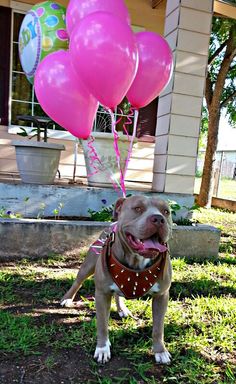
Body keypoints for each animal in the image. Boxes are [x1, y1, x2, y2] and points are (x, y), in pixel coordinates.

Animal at [60, 196, 171, 364]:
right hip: (88, 265)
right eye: (138, 208)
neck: (136, 261)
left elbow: (158, 328)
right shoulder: (102, 294)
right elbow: (102, 325)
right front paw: (102, 349)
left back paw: (122, 309)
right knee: (78, 281)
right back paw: (67, 298)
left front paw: (160, 351)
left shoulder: (161, 296)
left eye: (166, 211)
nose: (158, 219)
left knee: (118, 293)